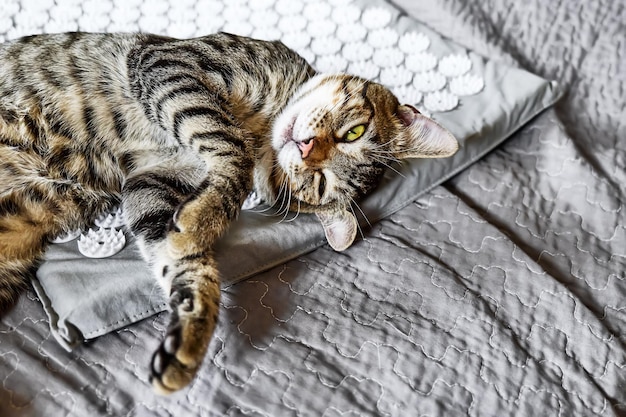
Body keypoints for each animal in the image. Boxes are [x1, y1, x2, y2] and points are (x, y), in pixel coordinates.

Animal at [0, 30, 458, 392]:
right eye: (355, 133)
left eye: (319, 183)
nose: (305, 147)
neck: (261, 128)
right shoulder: (171, 62)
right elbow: (231, 150)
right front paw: (203, 216)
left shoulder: (149, 185)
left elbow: (185, 260)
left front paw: (191, 332)